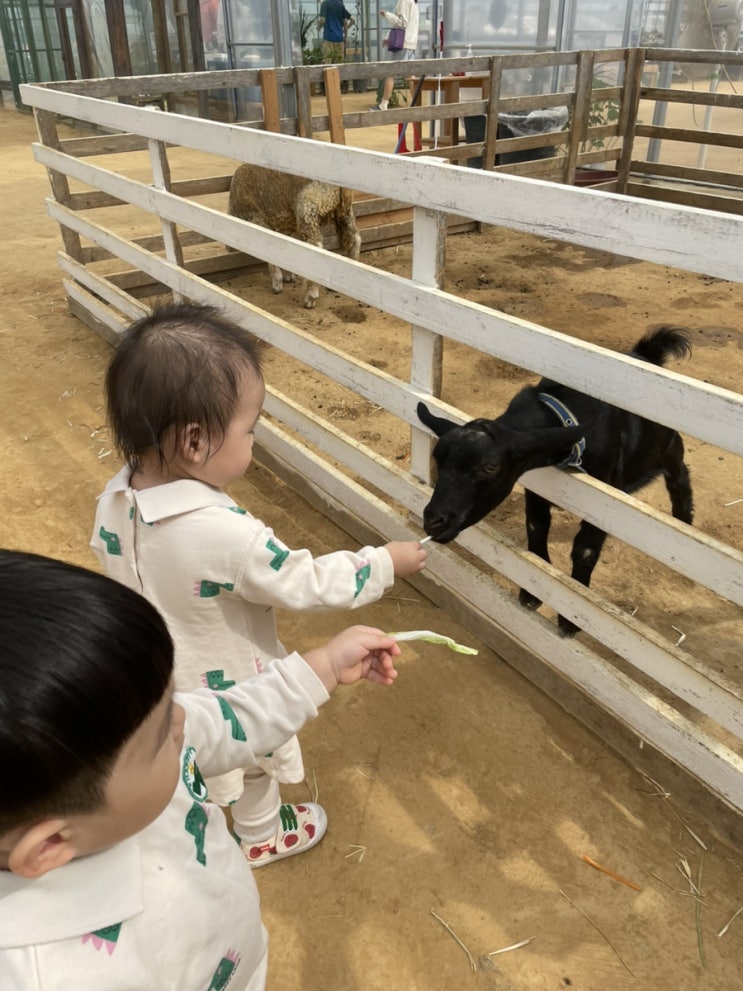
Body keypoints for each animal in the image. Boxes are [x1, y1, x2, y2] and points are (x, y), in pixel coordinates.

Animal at [227, 164, 361, 309]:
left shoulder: (259, 222)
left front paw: (277, 284)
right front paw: (288, 276)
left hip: (307, 211)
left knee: (317, 251)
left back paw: (310, 297)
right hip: (344, 212)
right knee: (354, 240)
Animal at [416, 327, 694, 635]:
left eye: (490, 467)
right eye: (437, 458)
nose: (433, 521)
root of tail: (646, 354)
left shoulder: (603, 500)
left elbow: (585, 549)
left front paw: (571, 619)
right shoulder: (536, 481)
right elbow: (536, 526)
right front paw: (531, 593)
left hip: (668, 445)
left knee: (678, 474)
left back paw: (684, 520)